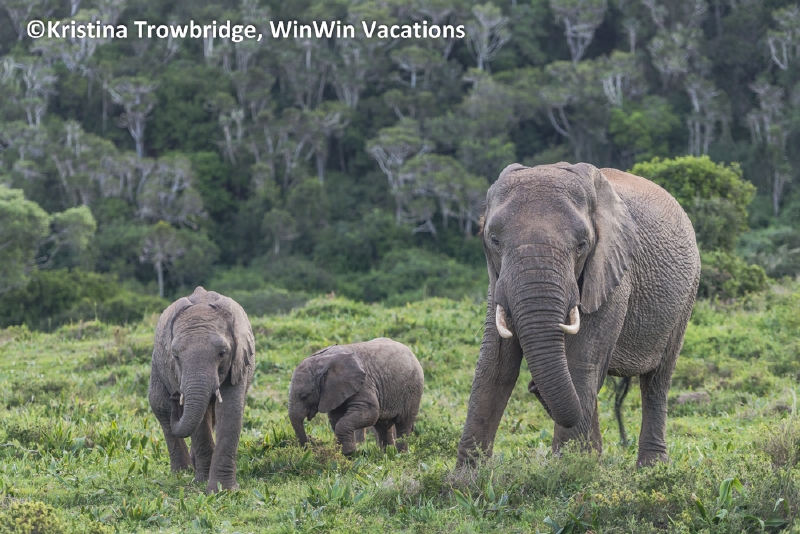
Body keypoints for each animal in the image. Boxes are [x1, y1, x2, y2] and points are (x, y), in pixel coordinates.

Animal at [148, 286, 255, 493]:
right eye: (176, 356)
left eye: (222, 353)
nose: (176, 397)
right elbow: (199, 421)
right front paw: (203, 482)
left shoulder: (238, 360)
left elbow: (230, 411)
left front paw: (223, 490)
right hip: (156, 364)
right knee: (160, 407)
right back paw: (183, 472)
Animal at [289, 338, 423, 456]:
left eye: (304, 396)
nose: (308, 449)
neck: (322, 361)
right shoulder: (334, 391)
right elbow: (335, 418)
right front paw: (345, 453)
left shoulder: (364, 383)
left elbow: (369, 412)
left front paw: (349, 453)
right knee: (382, 424)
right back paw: (386, 455)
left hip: (413, 389)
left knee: (403, 422)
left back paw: (400, 455)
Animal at [457, 162, 700, 468]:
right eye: (494, 240)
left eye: (582, 244)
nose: (534, 386)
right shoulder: (498, 281)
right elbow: (495, 364)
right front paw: (467, 478)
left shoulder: (613, 272)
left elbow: (579, 359)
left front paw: (568, 471)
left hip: (687, 294)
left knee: (656, 380)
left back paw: (652, 469)